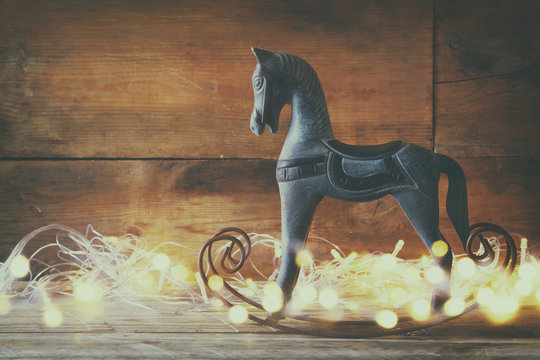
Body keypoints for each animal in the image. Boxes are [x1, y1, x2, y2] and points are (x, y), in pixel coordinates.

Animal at [249, 47, 468, 318]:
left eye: (258, 82)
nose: (255, 125)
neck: (308, 142)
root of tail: (436, 158)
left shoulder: (296, 196)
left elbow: (290, 249)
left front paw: (275, 309)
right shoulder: (307, 200)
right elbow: (297, 248)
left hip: (419, 203)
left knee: (443, 252)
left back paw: (436, 306)